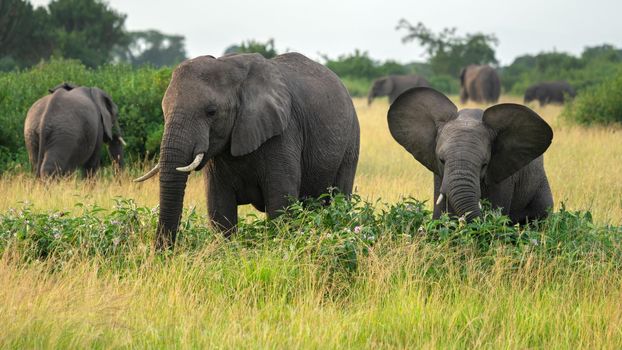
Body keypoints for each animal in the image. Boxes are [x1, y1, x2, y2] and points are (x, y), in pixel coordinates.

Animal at [135, 52, 360, 249]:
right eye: (163, 110)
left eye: (211, 112)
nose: (162, 254)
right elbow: (219, 207)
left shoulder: (284, 132)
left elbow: (280, 202)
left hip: (351, 142)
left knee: (339, 198)